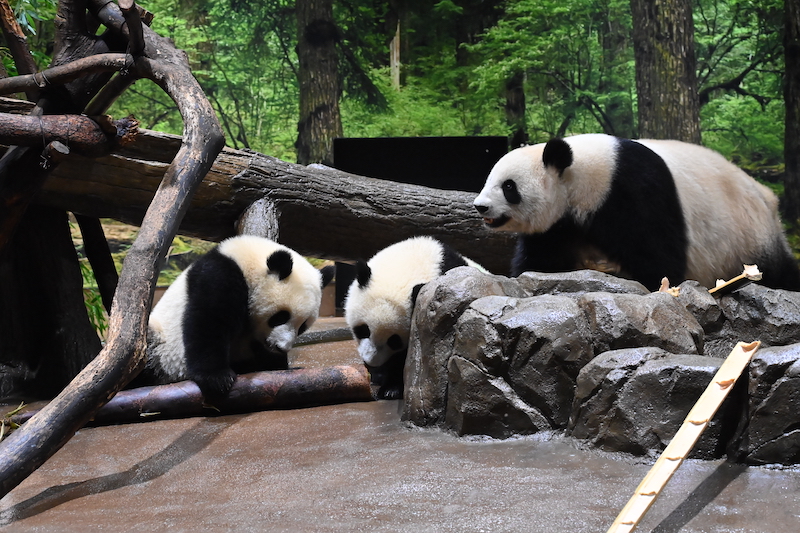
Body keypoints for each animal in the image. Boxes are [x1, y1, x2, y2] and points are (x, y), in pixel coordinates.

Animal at [144, 234, 334, 400]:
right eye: (280, 317)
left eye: (303, 326)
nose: (282, 347)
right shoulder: (219, 275)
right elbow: (209, 321)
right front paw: (217, 379)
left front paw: (279, 367)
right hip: (160, 343)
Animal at [476, 133, 800, 290]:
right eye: (488, 179)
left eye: (508, 186)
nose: (480, 206)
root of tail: (767, 198)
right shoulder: (559, 224)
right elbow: (542, 255)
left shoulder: (634, 192)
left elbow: (660, 256)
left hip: (749, 234)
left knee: (777, 269)